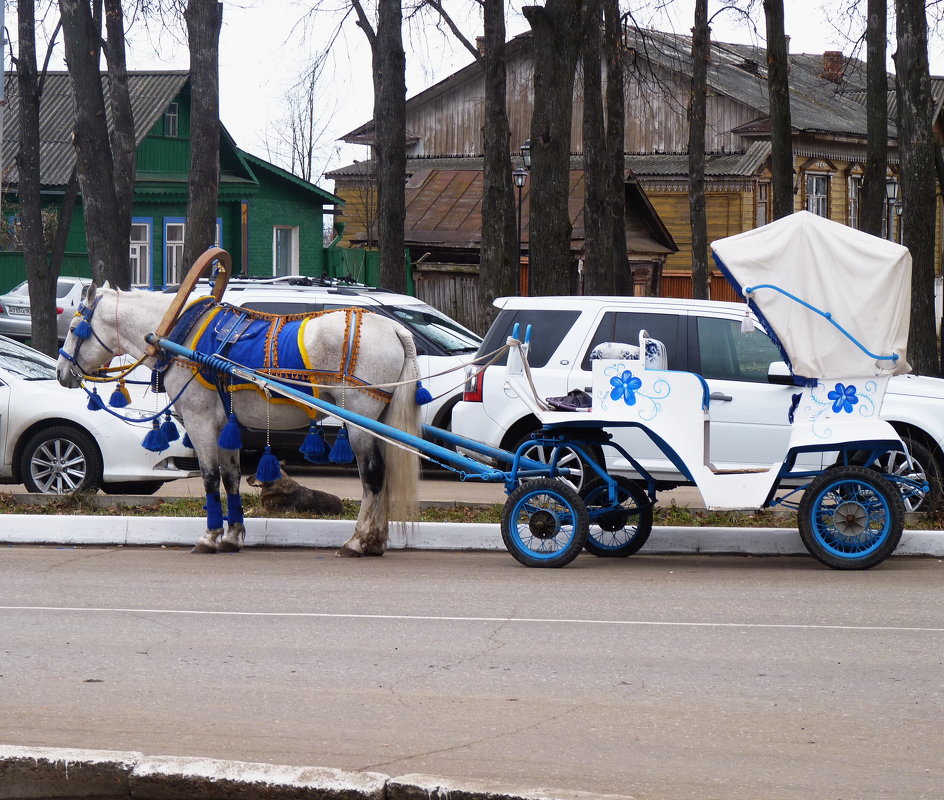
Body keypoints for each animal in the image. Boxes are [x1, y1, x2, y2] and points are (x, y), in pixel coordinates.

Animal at [54, 286, 416, 556]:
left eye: (73, 329)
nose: (60, 372)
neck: (179, 335)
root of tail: (395, 328)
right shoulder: (225, 426)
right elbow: (231, 477)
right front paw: (232, 536)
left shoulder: (200, 421)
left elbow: (210, 478)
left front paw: (210, 536)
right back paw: (376, 541)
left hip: (360, 421)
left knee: (372, 476)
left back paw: (358, 541)